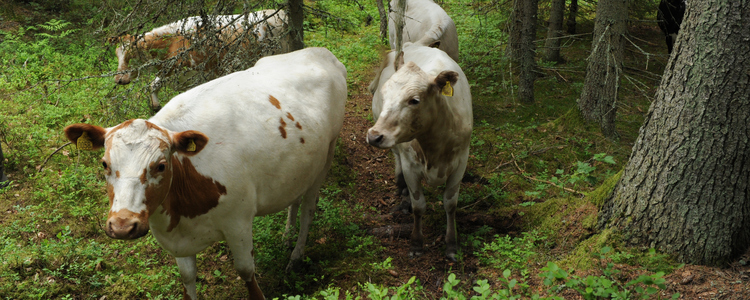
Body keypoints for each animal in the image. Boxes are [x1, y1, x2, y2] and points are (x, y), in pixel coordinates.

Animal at [64, 47, 346, 300]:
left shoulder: (238, 223)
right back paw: (287, 236)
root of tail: (319, 52)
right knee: (295, 198)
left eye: (161, 165)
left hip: (326, 157)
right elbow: (187, 279)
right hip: (300, 168)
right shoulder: (180, 243)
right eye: (104, 164)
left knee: (309, 209)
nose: (123, 226)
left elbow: (246, 271)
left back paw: (296, 256)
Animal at [112, 10, 290, 112]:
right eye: (116, 54)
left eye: (131, 54)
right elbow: (153, 85)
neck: (172, 42)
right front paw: (155, 106)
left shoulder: (197, 76)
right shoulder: (171, 72)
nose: (119, 79)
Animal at [368, 43, 472, 262]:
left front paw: (452, 244)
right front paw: (416, 243)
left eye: (414, 100)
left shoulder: (460, 162)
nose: (374, 136)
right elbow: (418, 205)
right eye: (384, 93)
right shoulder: (411, 166)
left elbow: (450, 204)